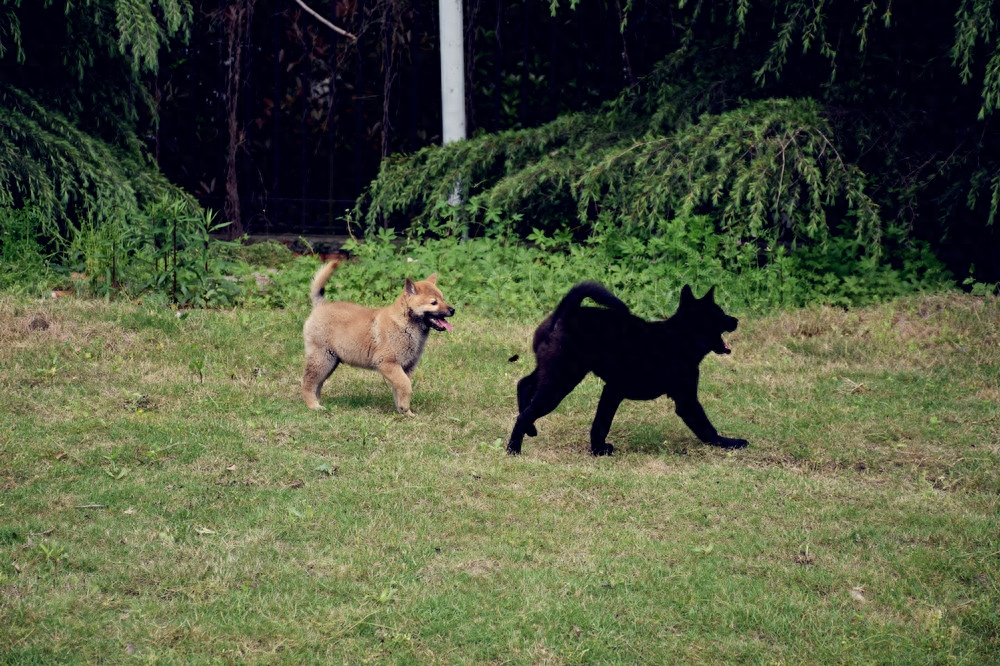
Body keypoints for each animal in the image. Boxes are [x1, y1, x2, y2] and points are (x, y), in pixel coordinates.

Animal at [296, 260, 454, 412]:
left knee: (317, 384)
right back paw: (313, 406)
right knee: (307, 383)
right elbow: (406, 386)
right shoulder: (387, 363)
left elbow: (400, 389)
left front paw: (405, 411)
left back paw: (318, 403)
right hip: (322, 359)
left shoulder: (405, 368)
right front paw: (404, 409)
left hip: (330, 361)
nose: (453, 310)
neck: (404, 324)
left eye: (443, 299)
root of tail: (321, 305)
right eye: (434, 302)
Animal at [508, 278, 752, 454]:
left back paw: (530, 430)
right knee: (526, 412)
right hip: (561, 380)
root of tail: (566, 313)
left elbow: (601, 422)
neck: (681, 337)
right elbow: (706, 427)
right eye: (719, 314)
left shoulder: (613, 390)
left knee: (524, 384)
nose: (736, 320)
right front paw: (729, 443)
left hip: (553, 371)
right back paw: (514, 449)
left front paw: (598, 449)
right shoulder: (686, 400)